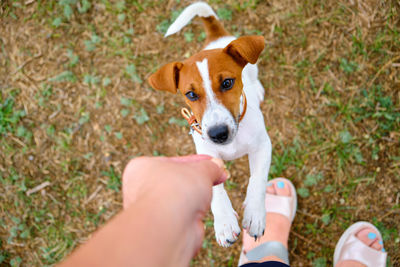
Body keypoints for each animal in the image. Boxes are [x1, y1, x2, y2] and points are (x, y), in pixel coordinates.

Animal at [148, 2, 274, 249]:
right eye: (190, 94)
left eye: (227, 83)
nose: (218, 134)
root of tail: (217, 36)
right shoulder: (205, 155)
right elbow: (216, 191)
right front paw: (224, 222)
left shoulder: (263, 146)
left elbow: (258, 180)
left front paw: (255, 214)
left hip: (253, 67)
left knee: (254, 74)